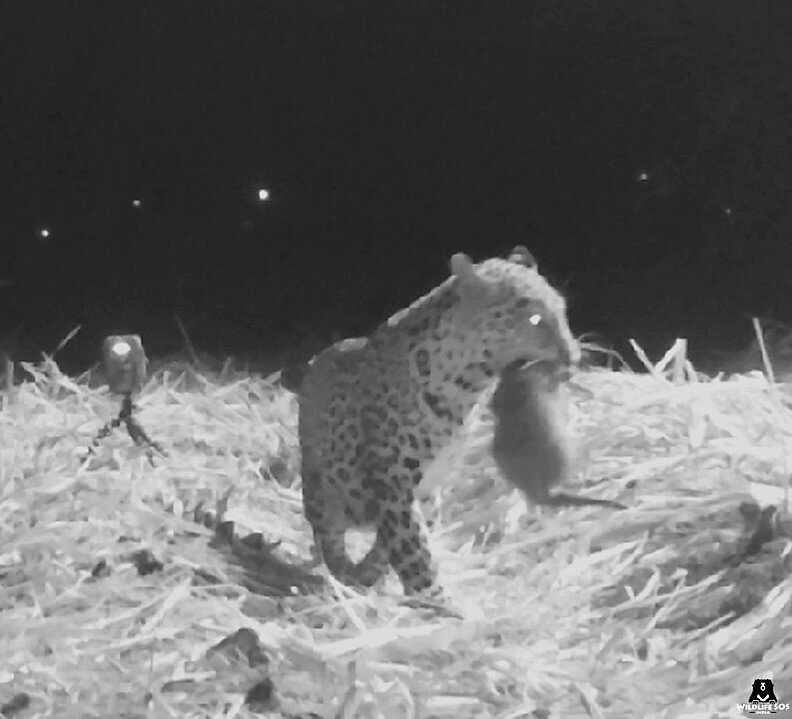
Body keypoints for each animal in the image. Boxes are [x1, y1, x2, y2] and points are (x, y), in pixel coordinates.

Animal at [297, 246, 580, 596]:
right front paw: (434, 599)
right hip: (320, 488)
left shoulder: (428, 487)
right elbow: (413, 550)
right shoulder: (393, 479)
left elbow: (401, 541)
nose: (574, 356)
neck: (468, 387)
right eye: (535, 319)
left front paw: (380, 573)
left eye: (563, 311)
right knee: (328, 537)